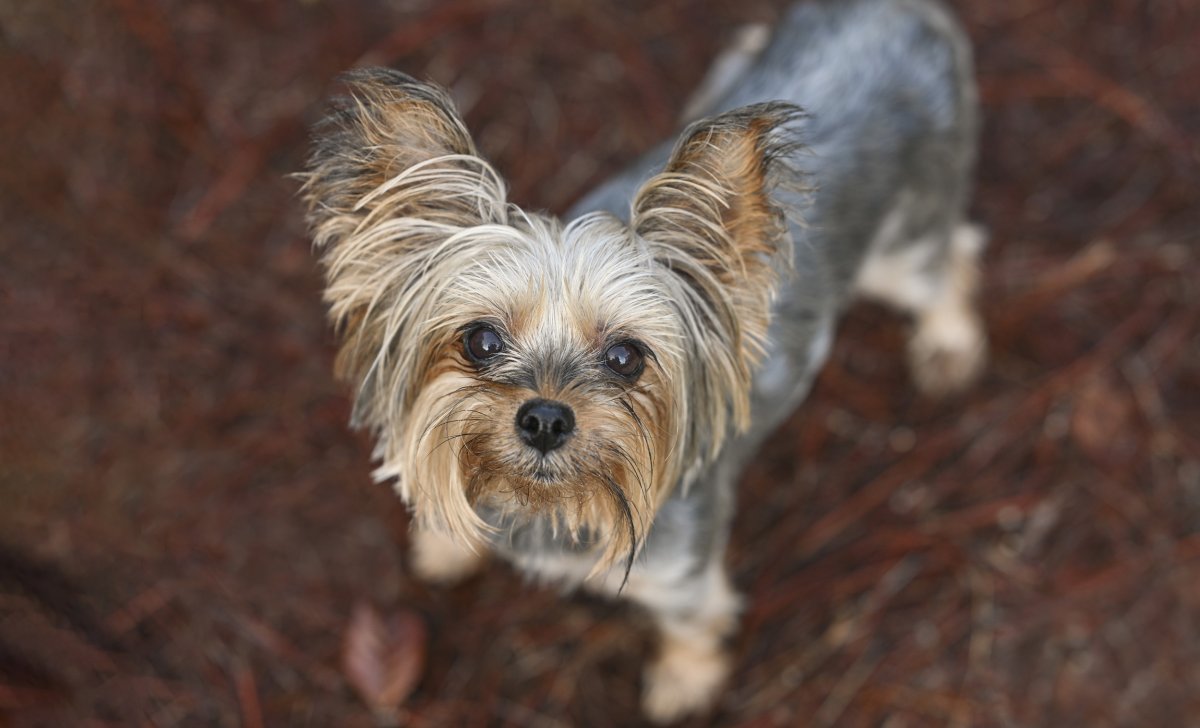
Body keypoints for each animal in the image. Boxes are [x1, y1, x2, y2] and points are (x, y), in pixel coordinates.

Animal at [300, 0, 984, 719]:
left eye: (627, 357)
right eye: (480, 340)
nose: (544, 419)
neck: (546, 506)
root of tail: (896, 12)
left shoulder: (683, 574)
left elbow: (691, 627)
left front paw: (684, 684)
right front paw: (445, 542)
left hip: (906, 242)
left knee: (953, 258)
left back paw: (949, 346)